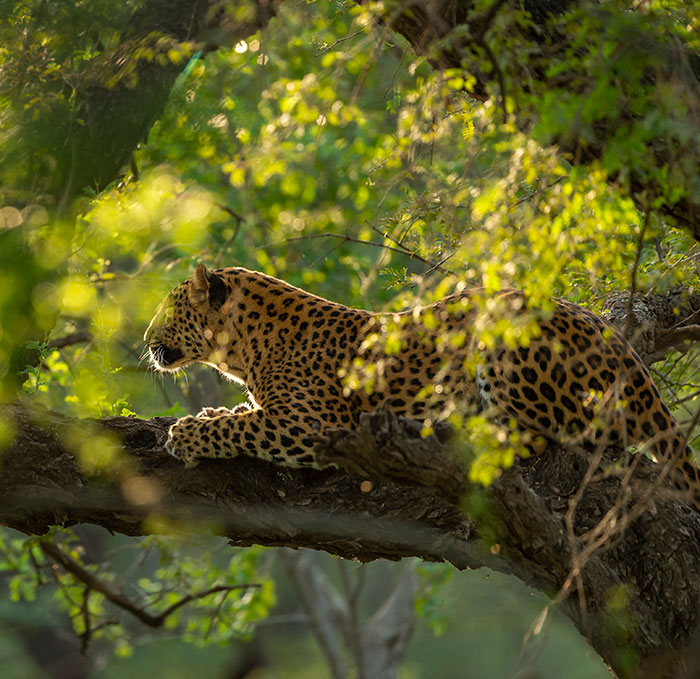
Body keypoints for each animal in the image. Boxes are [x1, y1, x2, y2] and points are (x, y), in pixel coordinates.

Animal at [145, 263, 700, 503]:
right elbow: (241, 418)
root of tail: (617, 343)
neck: (245, 352)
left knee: (553, 436)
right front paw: (214, 413)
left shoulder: (313, 426)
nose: (146, 341)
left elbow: (242, 430)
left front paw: (186, 434)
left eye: (170, 310)